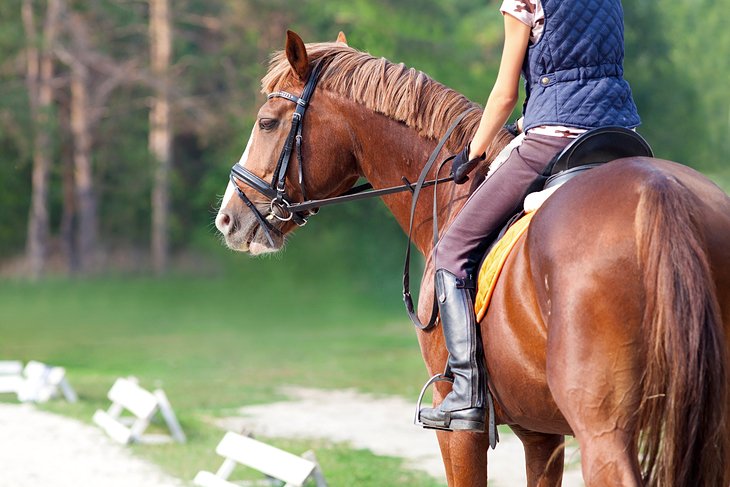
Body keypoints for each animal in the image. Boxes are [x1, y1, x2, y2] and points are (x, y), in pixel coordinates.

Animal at [212, 31, 728, 487]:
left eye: (267, 122)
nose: (228, 219)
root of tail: (657, 192)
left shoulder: (461, 432)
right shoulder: (543, 434)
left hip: (603, 430)